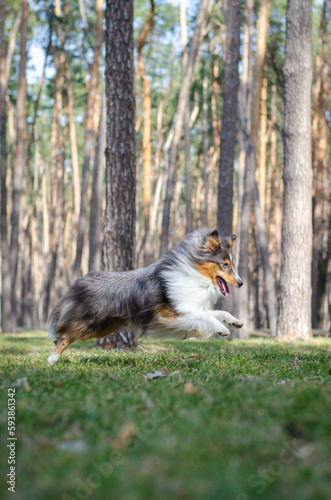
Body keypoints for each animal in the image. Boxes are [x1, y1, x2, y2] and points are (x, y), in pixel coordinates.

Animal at [48, 229, 245, 366]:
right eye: (225, 265)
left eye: (231, 265)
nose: (241, 283)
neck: (196, 276)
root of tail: (81, 280)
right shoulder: (171, 314)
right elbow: (205, 317)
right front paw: (221, 329)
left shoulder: (190, 308)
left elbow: (217, 312)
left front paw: (234, 322)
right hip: (91, 324)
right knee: (64, 336)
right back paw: (51, 360)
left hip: (106, 326)